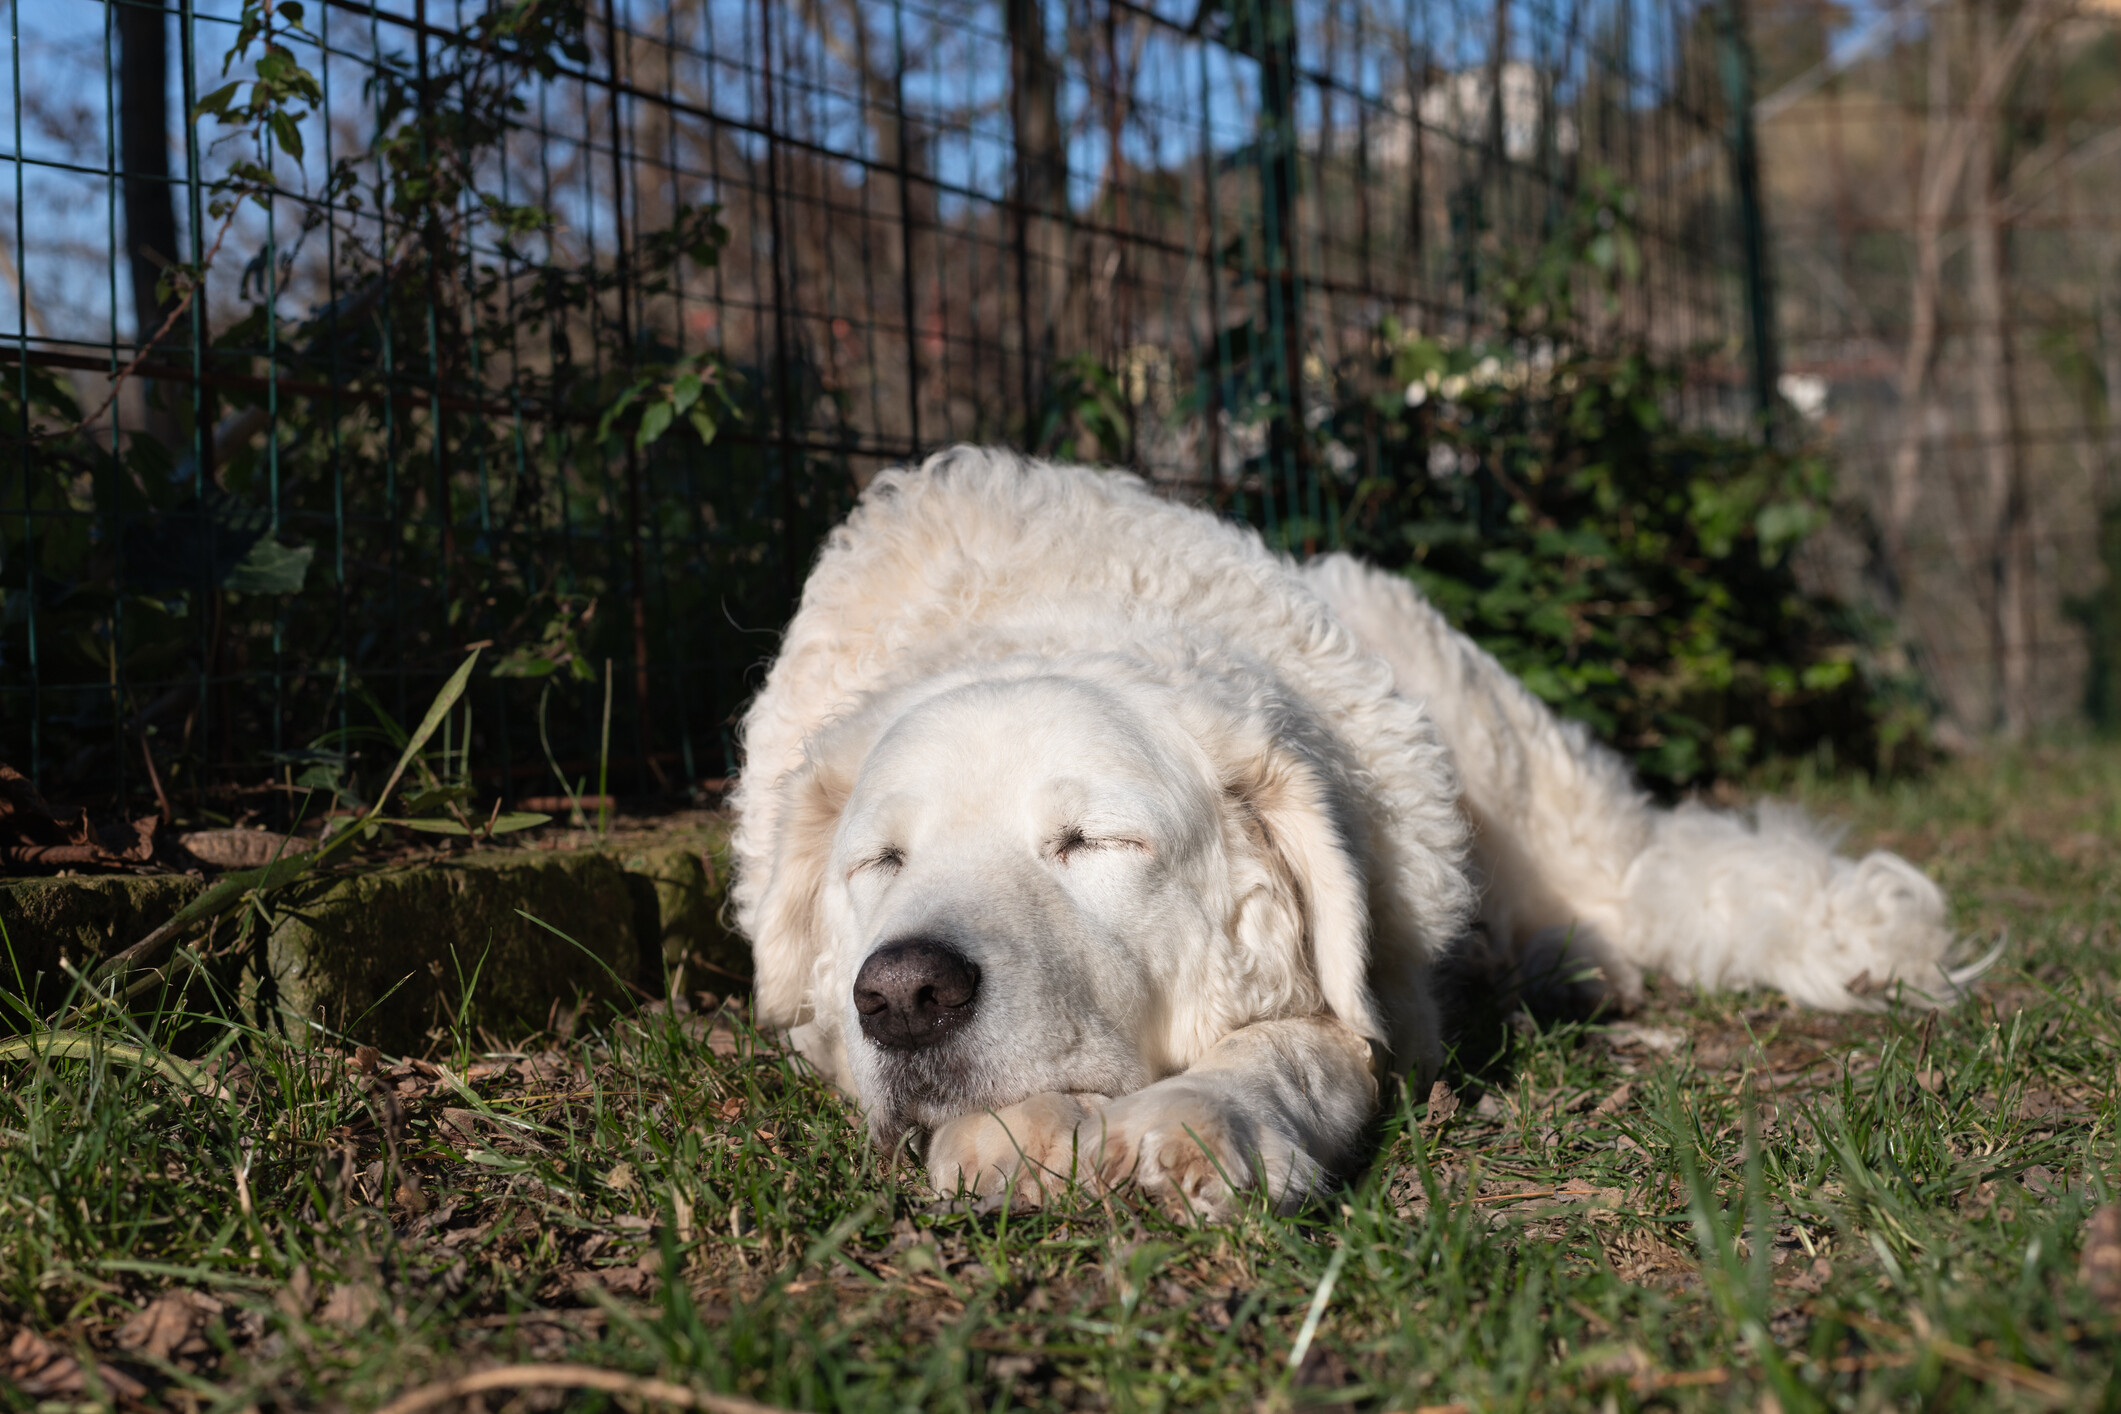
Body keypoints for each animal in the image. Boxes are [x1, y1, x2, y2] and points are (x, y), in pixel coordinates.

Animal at [725, 451, 1968, 1221]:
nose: (904, 994)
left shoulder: (1379, 1012)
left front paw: (1200, 1122)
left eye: (1091, 842)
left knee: (1643, 879)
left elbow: (1294, 1045)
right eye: (881, 863)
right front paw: (1019, 1135)